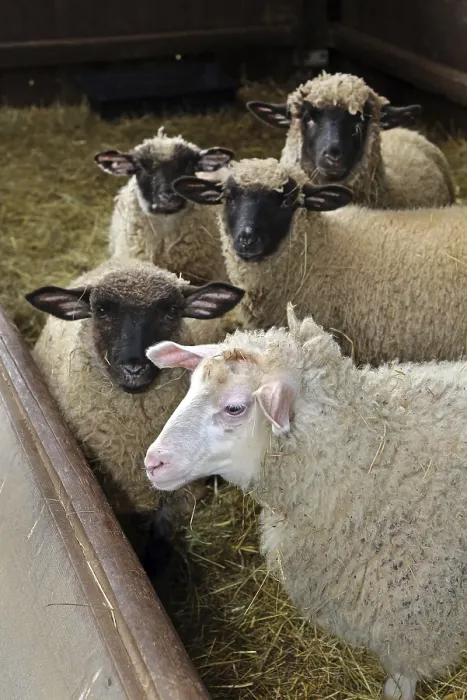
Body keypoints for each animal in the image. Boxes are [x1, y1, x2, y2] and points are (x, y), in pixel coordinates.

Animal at [25, 259, 244, 563]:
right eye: (101, 310)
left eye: (172, 311)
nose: (134, 366)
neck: (135, 433)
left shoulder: (179, 494)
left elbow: (161, 537)